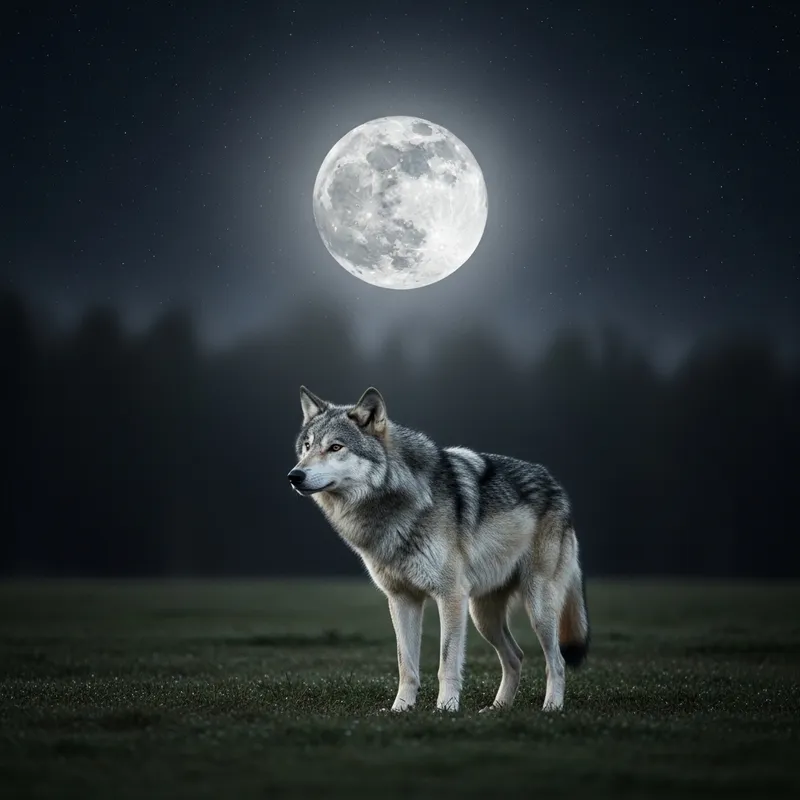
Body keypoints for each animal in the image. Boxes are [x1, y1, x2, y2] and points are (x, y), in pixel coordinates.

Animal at [287, 386, 590, 713]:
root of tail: (557, 487)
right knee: (516, 657)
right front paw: (400, 709)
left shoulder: (450, 596)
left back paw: (551, 708)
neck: (394, 504)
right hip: (483, 616)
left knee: (556, 661)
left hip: (537, 608)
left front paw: (446, 709)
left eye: (335, 447)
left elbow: (447, 662)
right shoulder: (402, 599)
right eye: (307, 446)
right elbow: (406, 665)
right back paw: (497, 708)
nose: (294, 476)